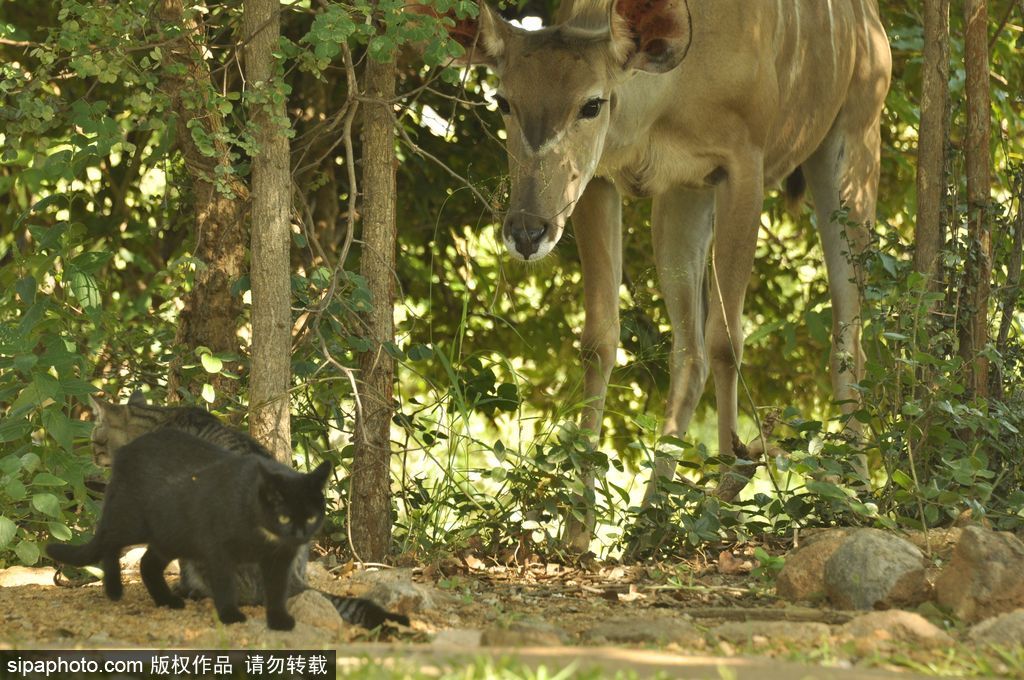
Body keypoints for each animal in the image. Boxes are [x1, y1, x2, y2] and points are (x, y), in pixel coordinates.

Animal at [48, 430, 329, 630]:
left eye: (311, 517)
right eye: (283, 517)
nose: (299, 535)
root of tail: (127, 449)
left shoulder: (280, 559)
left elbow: (277, 589)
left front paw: (279, 620)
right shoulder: (218, 551)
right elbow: (225, 583)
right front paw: (230, 615)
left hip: (172, 535)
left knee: (147, 564)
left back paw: (167, 601)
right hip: (133, 521)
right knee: (110, 542)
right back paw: (114, 589)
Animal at [448, 0, 888, 548]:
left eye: (592, 104)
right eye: (504, 100)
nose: (527, 230)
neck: (666, 102)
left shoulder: (744, 165)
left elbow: (729, 341)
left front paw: (724, 501)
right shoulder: (605, 181)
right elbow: (600, 340)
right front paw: (577, 529)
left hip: (854, 144)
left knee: (846, 338)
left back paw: (859, 496)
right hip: (683, 197)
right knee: (689, 349)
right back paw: (649, 521)